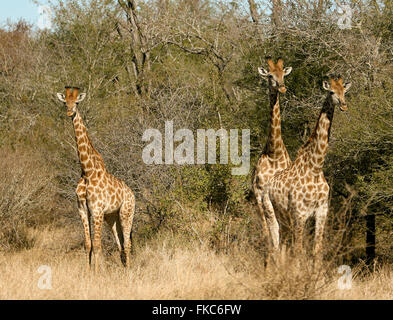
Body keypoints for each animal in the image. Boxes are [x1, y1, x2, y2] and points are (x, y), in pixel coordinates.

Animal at [56, 86, 136, 272]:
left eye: (76, 102)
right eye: (65, 102)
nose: (69, 112)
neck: (87, 170)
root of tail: (132, 194)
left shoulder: (97, 210)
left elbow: (98, 245)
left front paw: (98, 273)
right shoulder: (82, 209)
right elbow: (88, 244)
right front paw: (88, 273)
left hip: (126, 213)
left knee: (127, 243)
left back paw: (129, 271)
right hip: (112, 217)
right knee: (120, 243)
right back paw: (123, 269)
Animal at [260, 75, 350, 262]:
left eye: (344, 91)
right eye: (331, 91)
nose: (344, 105)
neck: (315, 167)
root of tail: (266, 187)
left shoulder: (322, 211)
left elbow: (317, 250)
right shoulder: (299, 213)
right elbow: (299, 250)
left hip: (285, 218)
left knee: (282, 245)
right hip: (270, 211)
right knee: (275, 246)